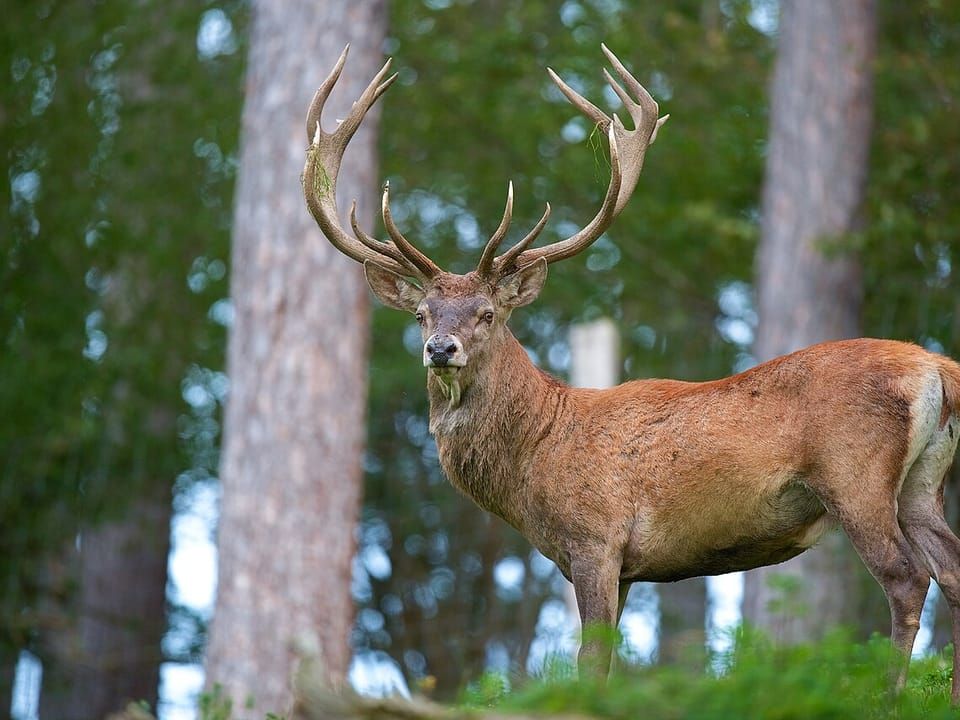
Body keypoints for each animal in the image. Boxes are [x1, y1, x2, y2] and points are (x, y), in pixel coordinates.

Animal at [302, 45, 960, 700]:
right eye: (421, 315)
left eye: (488, 313)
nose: (441, 348)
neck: (537, 453)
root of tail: (937, 368)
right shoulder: (622, 566)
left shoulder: (596, 539)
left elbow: (590, 661)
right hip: (922, 483)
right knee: (951, 570)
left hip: (855, 474)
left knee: (907, 579)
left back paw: (891, 696)